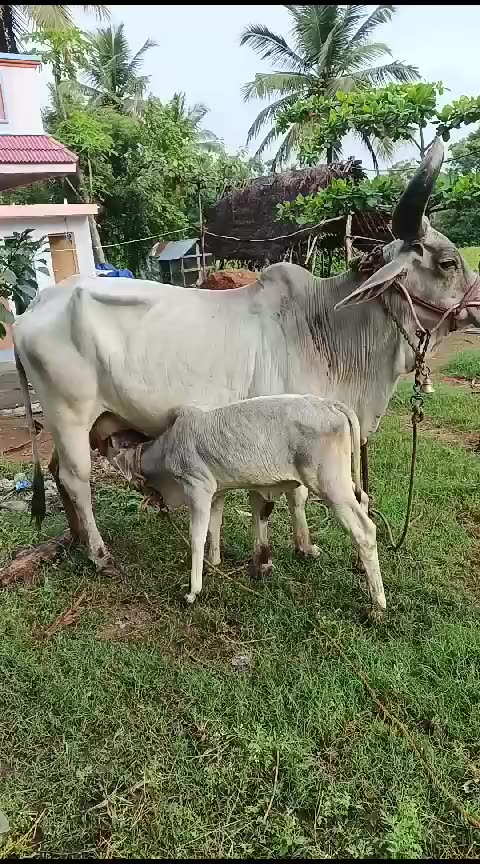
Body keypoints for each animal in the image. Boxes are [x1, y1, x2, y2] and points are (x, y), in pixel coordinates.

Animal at [13, 138, 480, 578]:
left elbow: (296, 496)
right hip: (70, 416)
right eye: (448, 262)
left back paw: (76, 539)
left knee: (57, 471)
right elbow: (274, 498)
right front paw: (264, 559)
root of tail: (32, 309)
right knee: (75, 478)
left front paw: (304, 547)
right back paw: (98, 553)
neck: (324, 327)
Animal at [106, 395, 385, 616]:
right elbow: (214, 526)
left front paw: (192, 591)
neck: (167, 447)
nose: (149, 497)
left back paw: (378, 603)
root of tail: (329, 403)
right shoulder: (217, 492)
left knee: (365, 530)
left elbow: (196, 537)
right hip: (342, 481)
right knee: (364, 499)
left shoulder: (199, 488)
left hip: (329, 484)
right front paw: (214, 562)